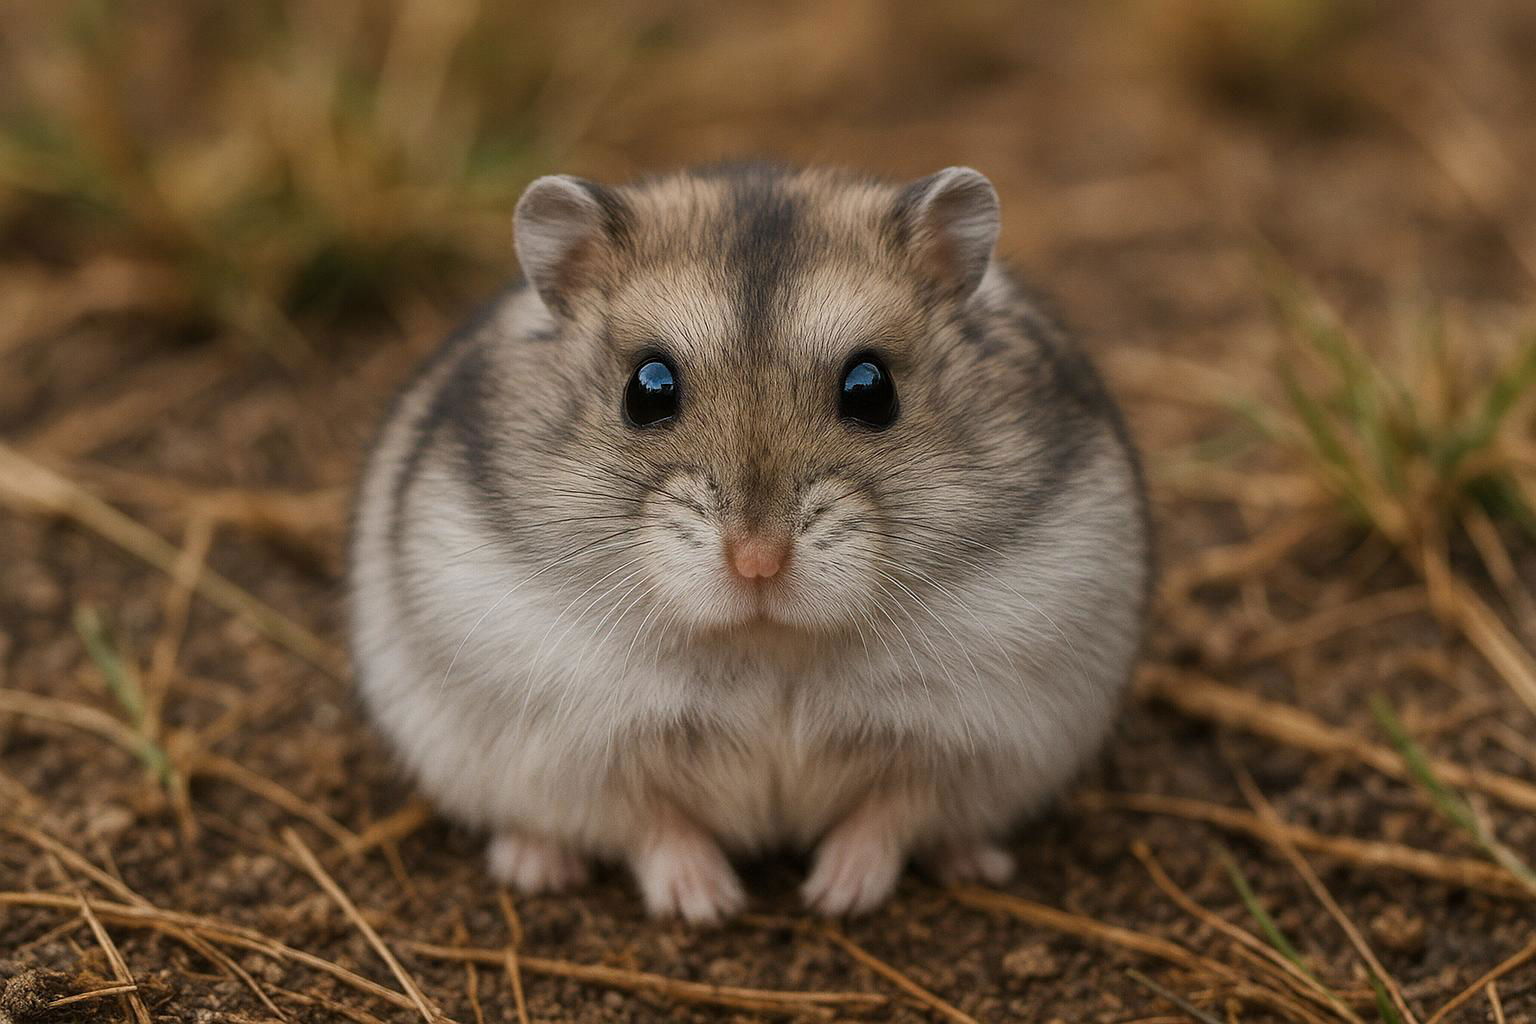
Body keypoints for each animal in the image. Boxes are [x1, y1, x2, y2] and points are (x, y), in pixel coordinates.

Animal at [348, 164, 1149, 922]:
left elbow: (891, 812)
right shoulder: (577, 747)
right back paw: (535, 866)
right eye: (647, 388)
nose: (756, 563)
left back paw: (973, 863)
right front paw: (707, 906)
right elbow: (651, 821)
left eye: (872, 388)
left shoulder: (970, 740)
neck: (769, 644)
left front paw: (835, 897)